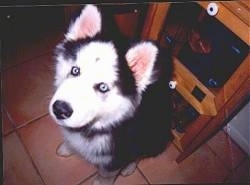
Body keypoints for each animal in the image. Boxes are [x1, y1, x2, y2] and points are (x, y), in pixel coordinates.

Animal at [49, 4, 173, 185]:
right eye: (75, 70)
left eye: (103, 87)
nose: (60, 109)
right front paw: (67, 147)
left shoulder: (115, 159)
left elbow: (106, 175)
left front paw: (100, 182)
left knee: (139, 155)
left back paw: (129, 167)